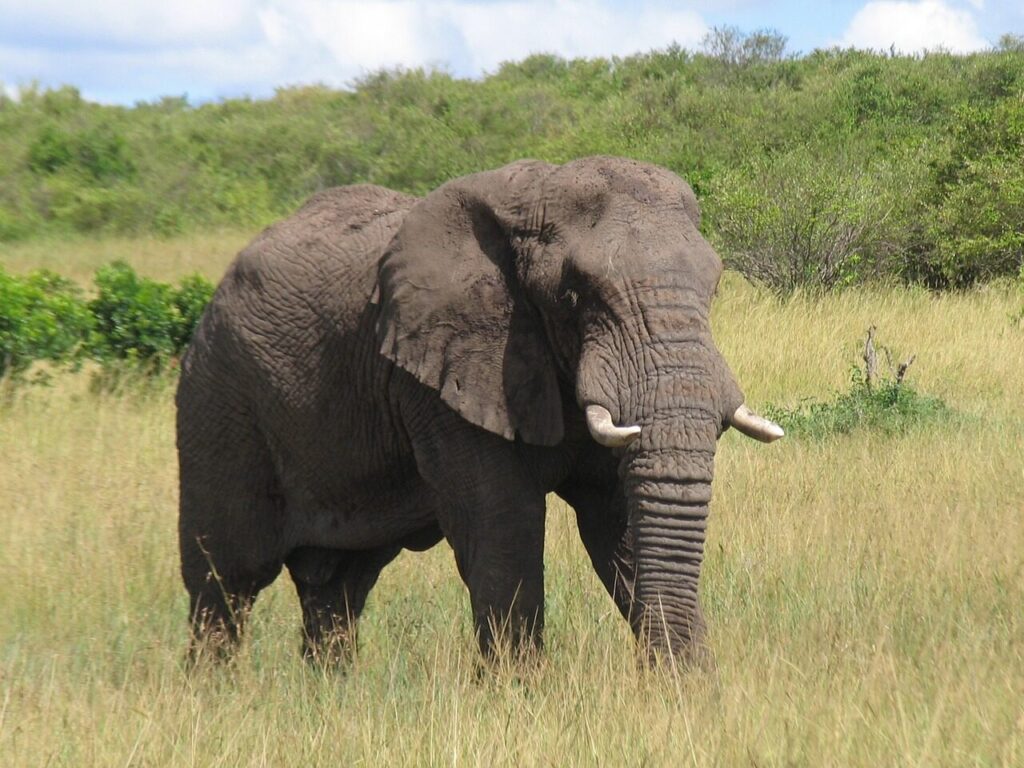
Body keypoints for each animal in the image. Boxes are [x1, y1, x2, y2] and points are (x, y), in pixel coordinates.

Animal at [175, 156, 783, 666]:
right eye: (574, 294)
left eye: (715, 284)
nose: (661, 679)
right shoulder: (442, 378)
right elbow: (503, 530)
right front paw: (522, 702)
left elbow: (618, 523)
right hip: (219, 400)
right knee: (225, 580)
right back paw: (215, 698)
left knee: (338, 586)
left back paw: (328, 699)